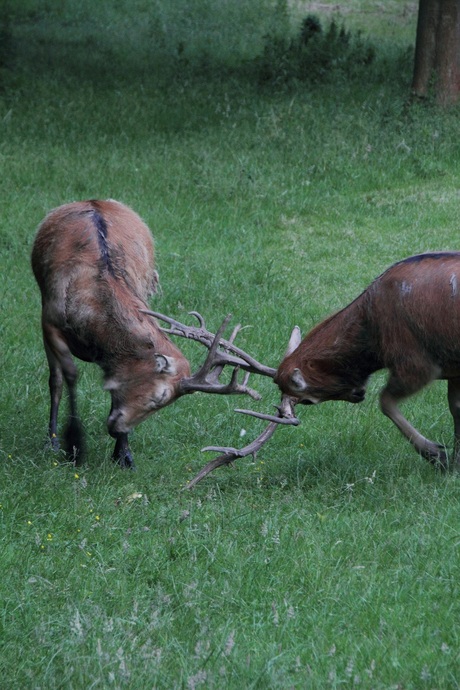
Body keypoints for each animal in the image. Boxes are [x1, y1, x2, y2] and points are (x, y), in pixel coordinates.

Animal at [30, 199, 280, 468]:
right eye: (158, 398)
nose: (117, 429)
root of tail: (94, 200)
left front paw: (123, 454)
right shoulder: (49, 321)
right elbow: (61, 379)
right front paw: (68, 445)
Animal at [272, 254, 460, 472]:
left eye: (308, 401)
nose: (359, 393)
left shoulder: (417, 364)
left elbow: (385, 401)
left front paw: (437, 455)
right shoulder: (453, 370)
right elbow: (456, 408)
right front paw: (454, 462)